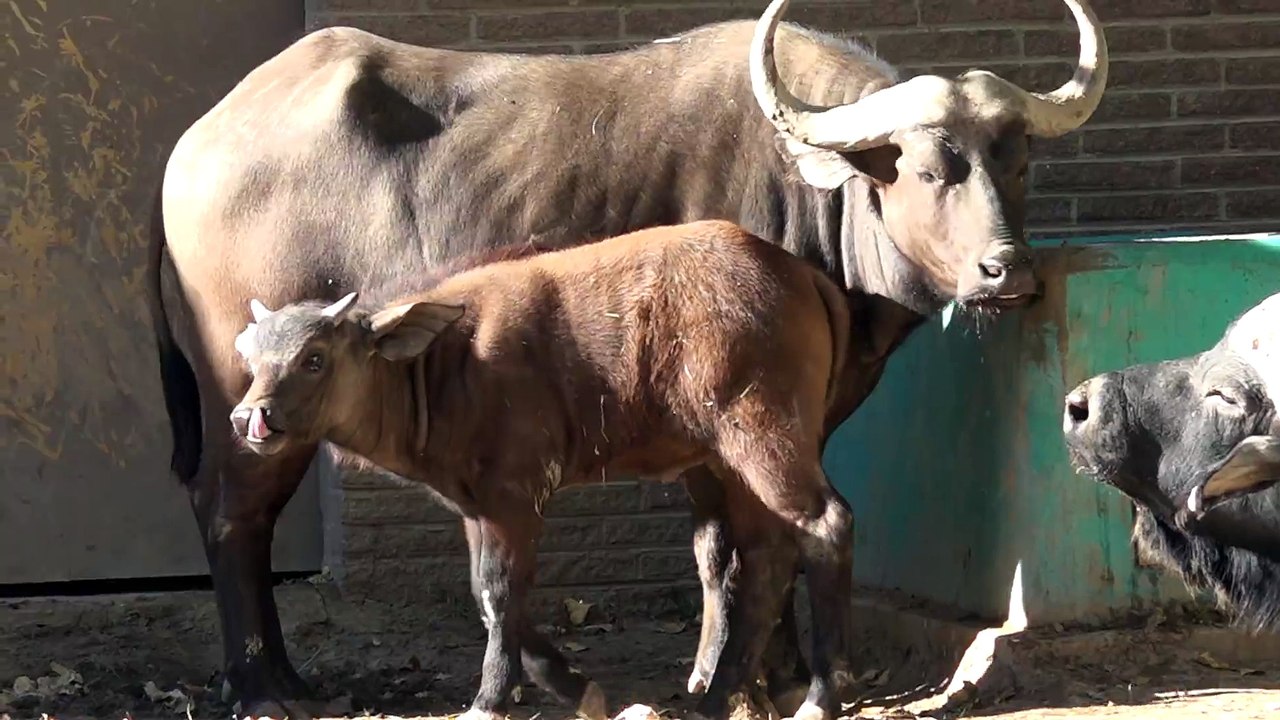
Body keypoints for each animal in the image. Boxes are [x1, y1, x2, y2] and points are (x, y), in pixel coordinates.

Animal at [149, 0, 1109, 714]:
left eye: (1017, 162)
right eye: (927, 168)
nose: (1009, 271)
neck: (813, 197)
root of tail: (192, 148)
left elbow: (751, 541)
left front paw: (752, 674)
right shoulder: (724, 427)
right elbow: (733, 543)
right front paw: (751, 678)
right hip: (252, 407)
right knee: (232, 512)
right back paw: (261, 686)